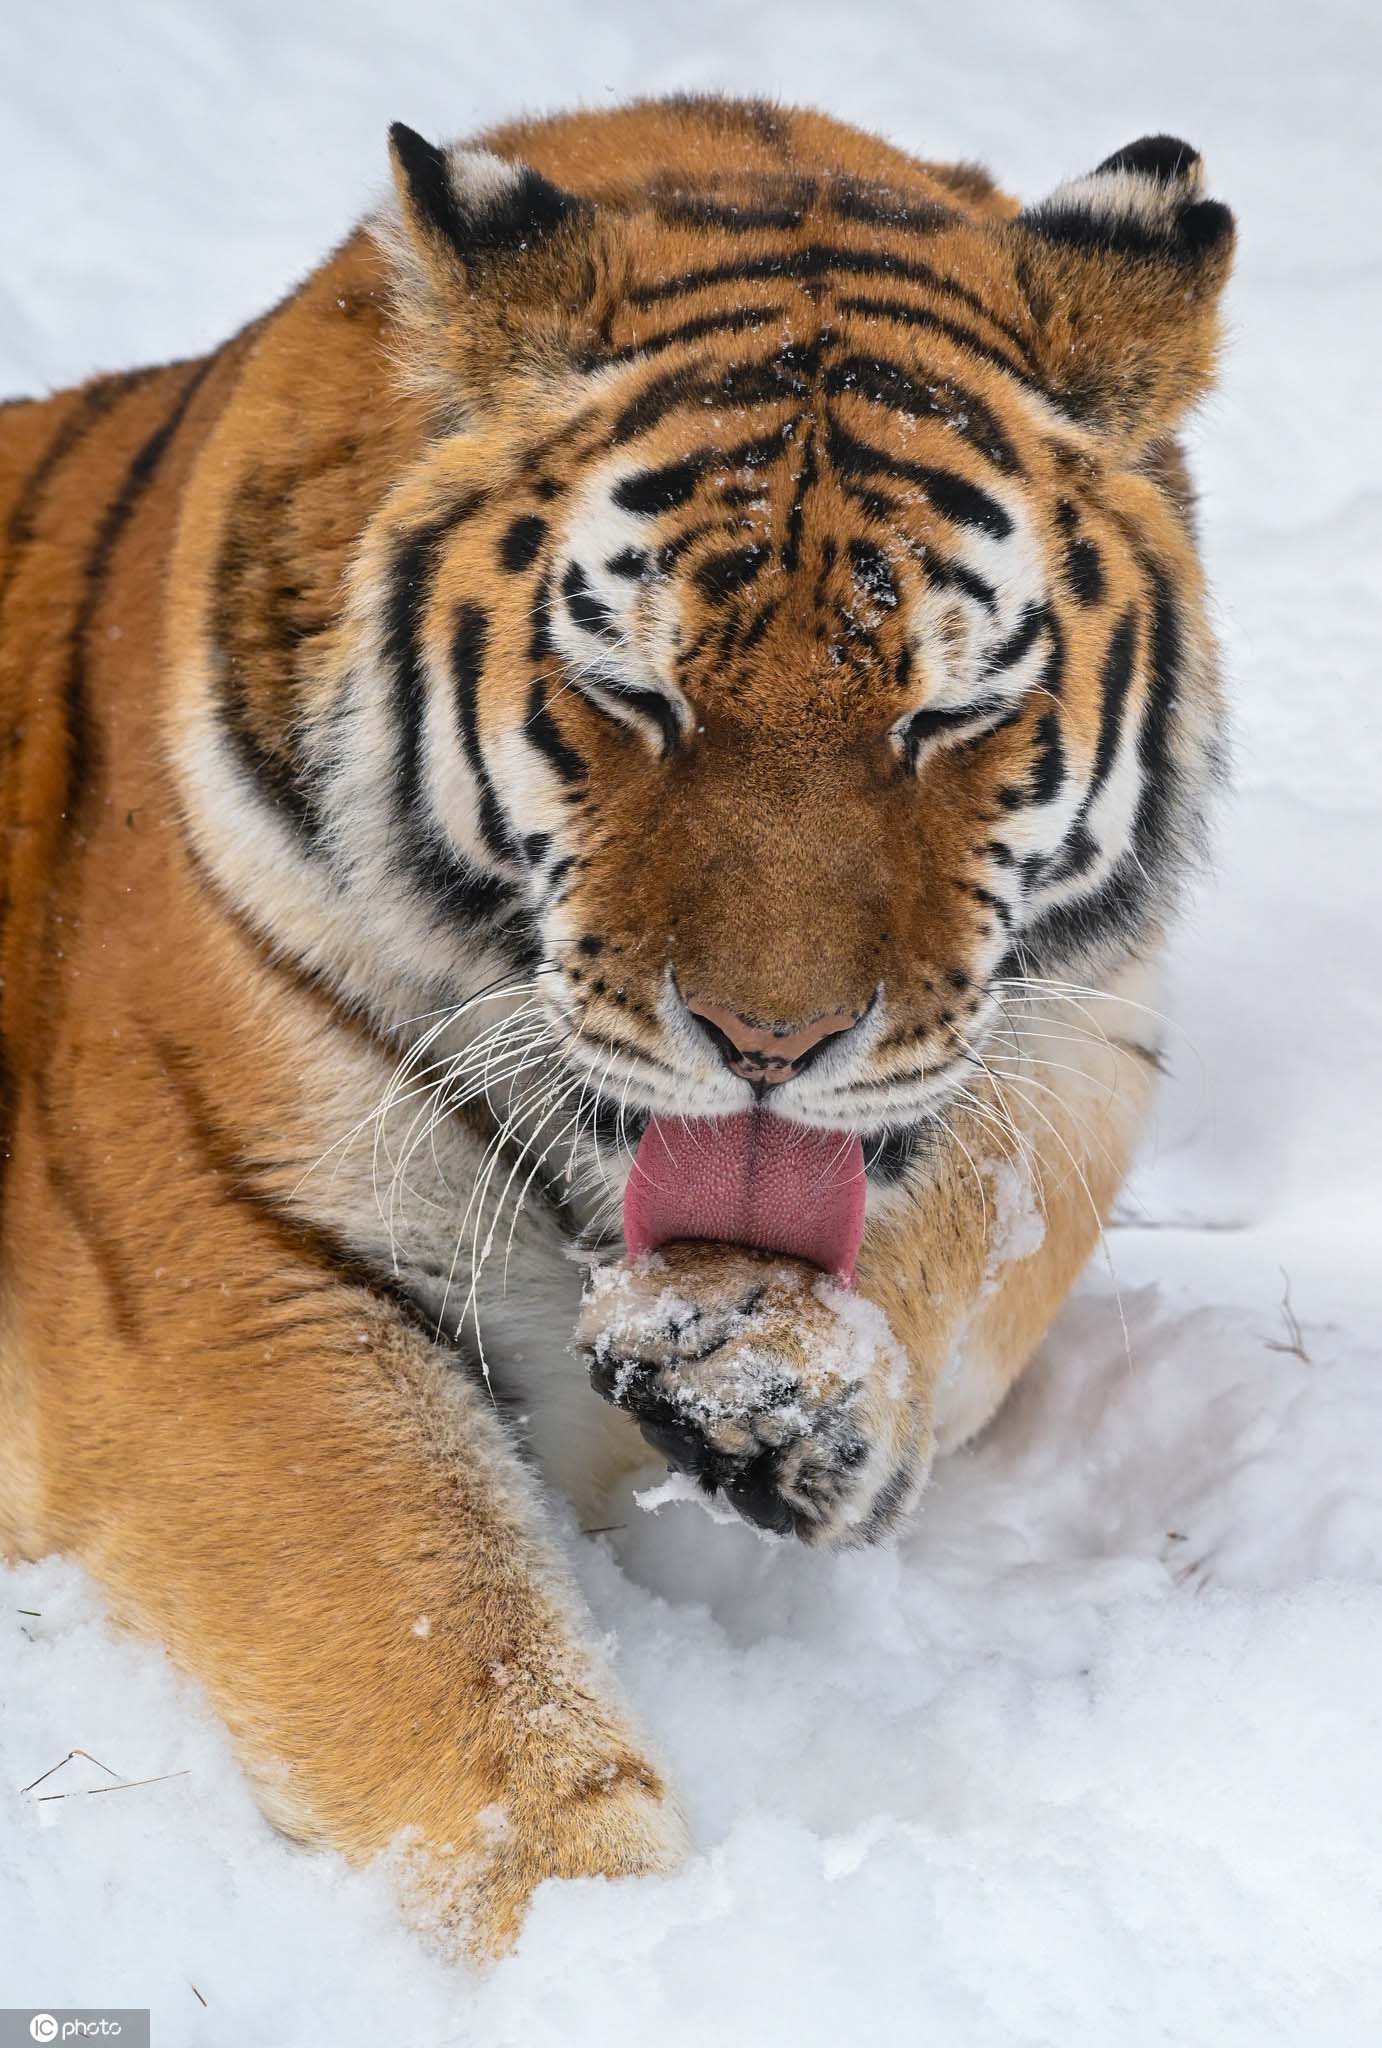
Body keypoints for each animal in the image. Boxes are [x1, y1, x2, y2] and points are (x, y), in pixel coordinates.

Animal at [0, 96, 1236, 1949]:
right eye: (634, 695)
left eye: (947, 716)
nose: (768, 1046)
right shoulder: (222, 1268)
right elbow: (451, 1652)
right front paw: (598, 1942)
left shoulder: (1090, 1028)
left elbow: (977, 1211)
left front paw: (772, 1373)